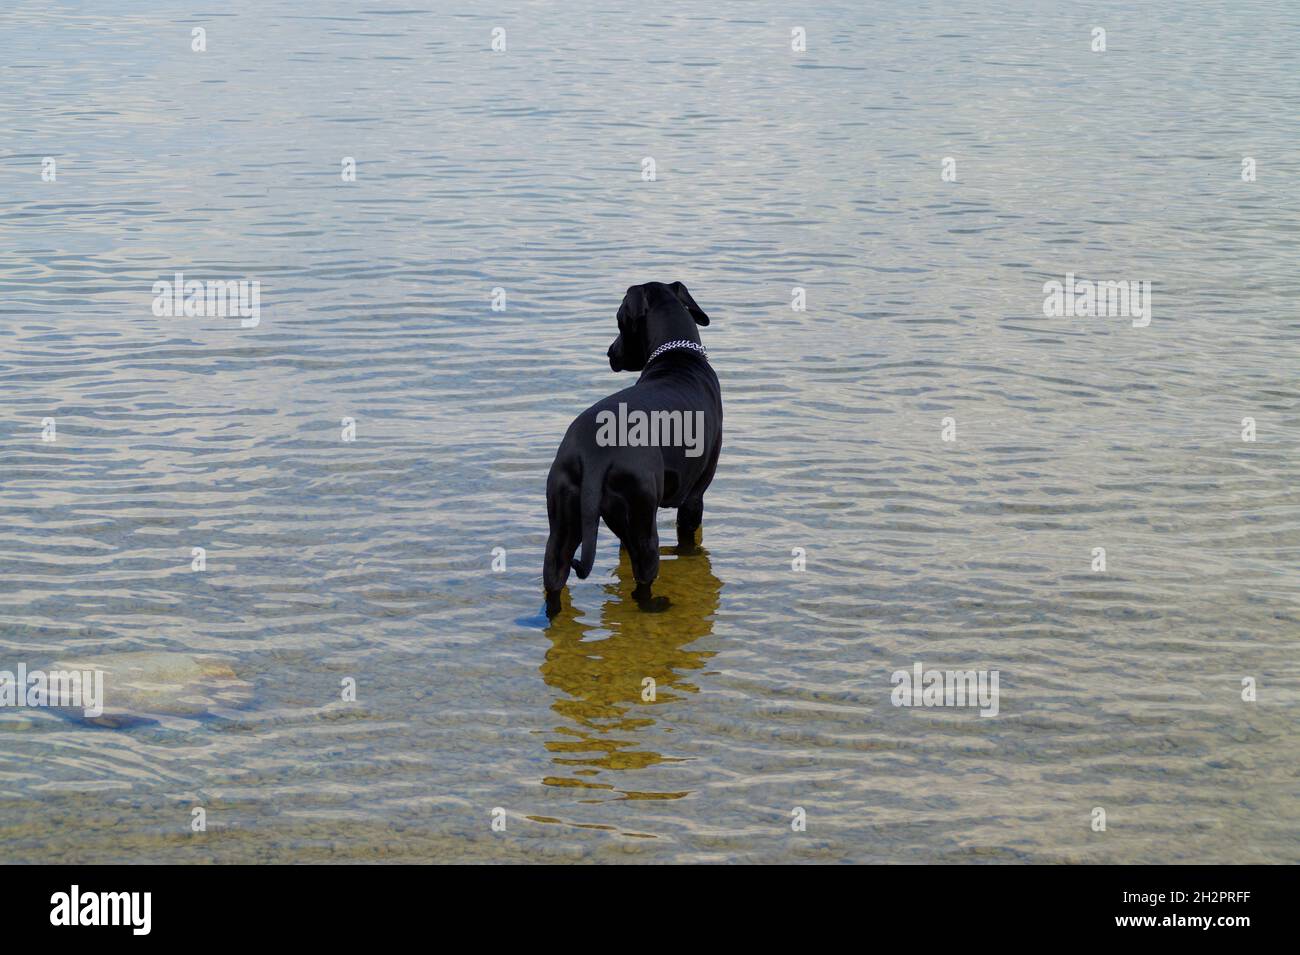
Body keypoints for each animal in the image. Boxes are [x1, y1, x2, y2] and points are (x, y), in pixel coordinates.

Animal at [540, 280, 722, 615]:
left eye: (619, 322)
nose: (610, 351)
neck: (677, 358)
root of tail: (595, 453)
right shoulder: (695, 496)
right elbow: (687, 542)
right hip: (642, 522)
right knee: (643, 582)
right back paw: (656, 604)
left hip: (563, 521)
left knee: (554, 575)